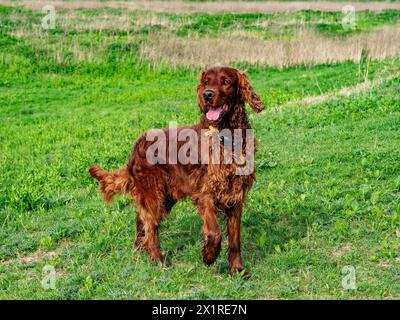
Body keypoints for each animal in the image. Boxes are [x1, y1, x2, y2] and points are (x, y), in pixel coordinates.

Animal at [89, 65, 264, 276]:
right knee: (151, 226)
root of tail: (137, 144)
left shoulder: (236, 195)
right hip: (154, 193)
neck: (227, 138)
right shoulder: (205, 194)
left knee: (142, 219)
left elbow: (235, 239)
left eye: (226, 82)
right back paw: (158, 259)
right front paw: (208, 256)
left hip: (165, 196)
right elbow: (215, 232)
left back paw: (140, 247)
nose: (207, 94)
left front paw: (237, 269)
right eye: (206, 82)